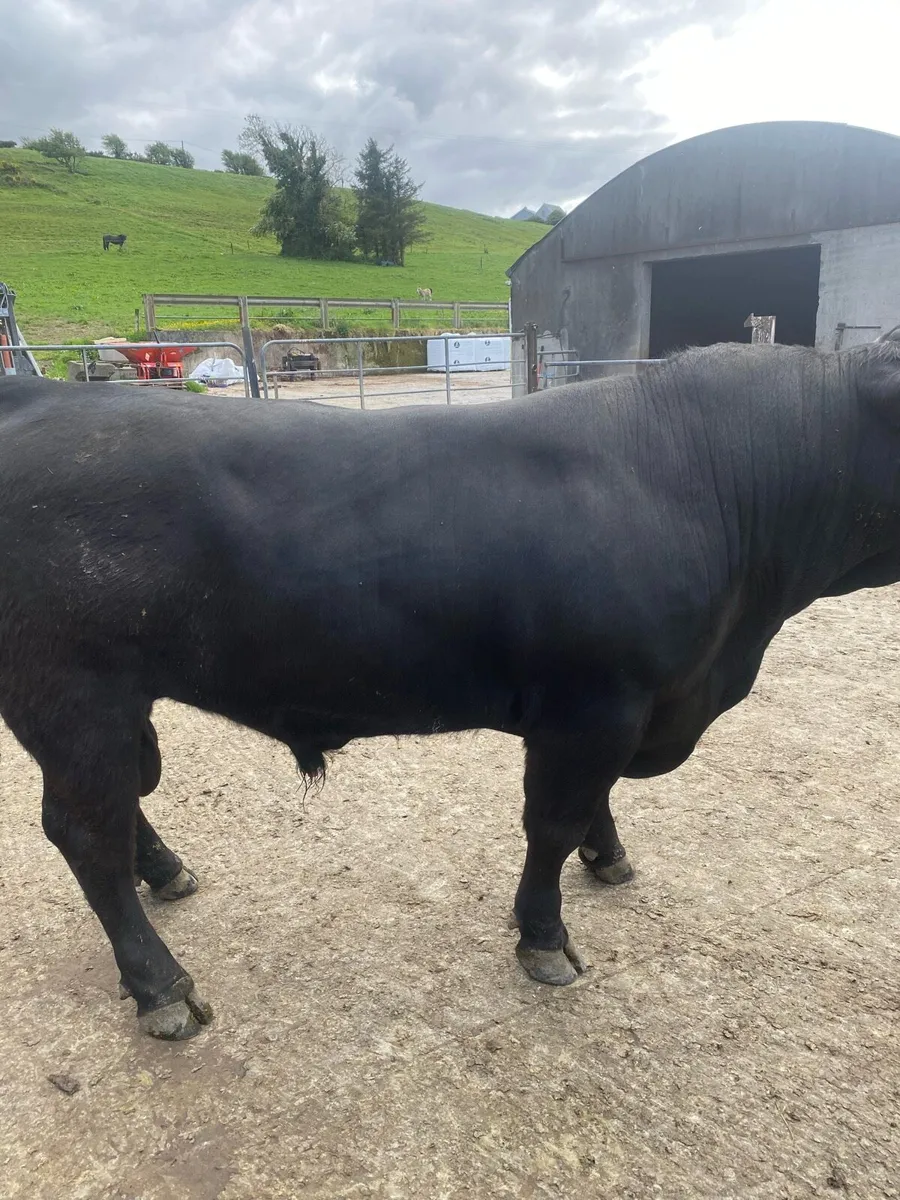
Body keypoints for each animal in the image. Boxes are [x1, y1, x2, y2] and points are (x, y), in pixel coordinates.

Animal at [1, 340, 899, 1042]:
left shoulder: (617, 705)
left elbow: (595, 802)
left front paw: (608, 858)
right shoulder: (594, 702)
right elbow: (554, 820)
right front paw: (545, 937)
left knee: (122, 808)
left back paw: (167, 871)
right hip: (71, 694)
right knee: (86, 833)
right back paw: (162, 988)